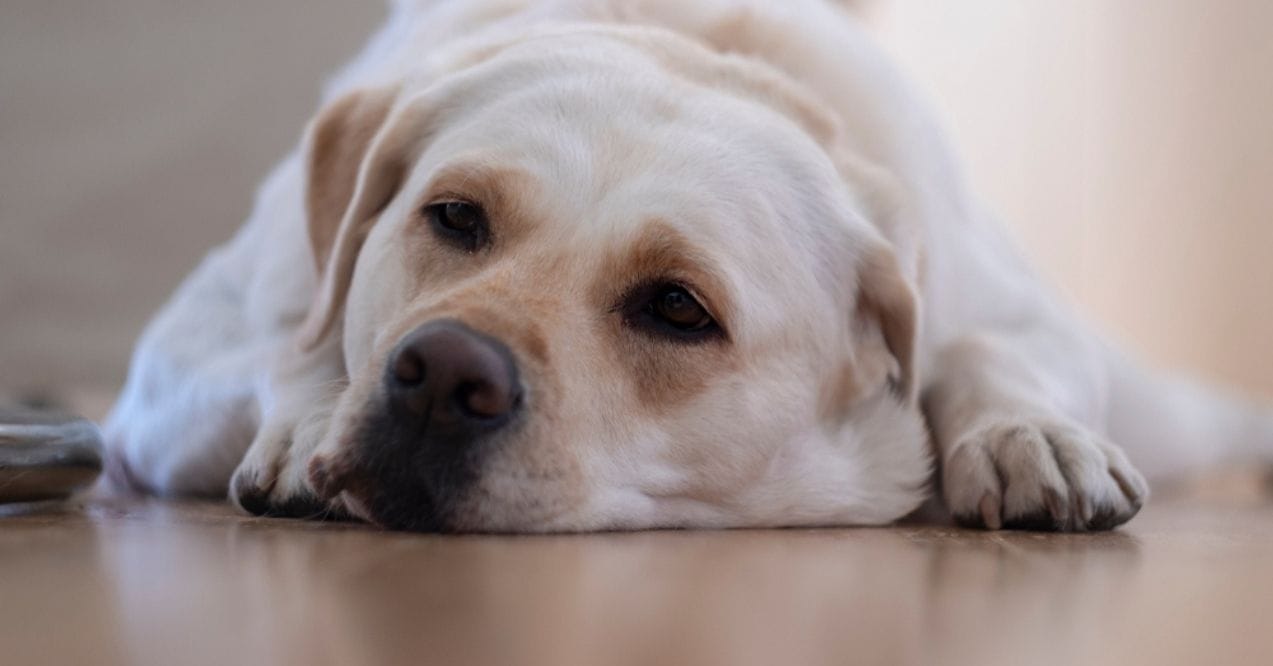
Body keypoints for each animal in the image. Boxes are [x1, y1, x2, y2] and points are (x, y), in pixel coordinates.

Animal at [101, 0, 1273, 532]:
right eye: (454, 217)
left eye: (676, 308)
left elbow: (985, 351)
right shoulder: (175, 356)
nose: (439, 378)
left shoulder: (1013, 312)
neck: (696, 40)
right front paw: (307, 417)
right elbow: (283, 342)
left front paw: (1027, 436)